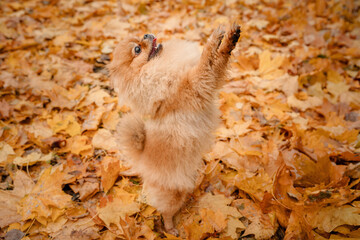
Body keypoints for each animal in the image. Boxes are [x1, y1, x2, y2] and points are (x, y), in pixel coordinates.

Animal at [108, 24, 240, 234]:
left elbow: (218, 60)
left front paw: (230, 37)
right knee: (166, 211)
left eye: (140, 38)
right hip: (171, 193)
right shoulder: (197, 83)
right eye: (137, 49)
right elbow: (208, 60)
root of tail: (142, 159)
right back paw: (171, 229)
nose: (147, 34)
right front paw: (218, 39)